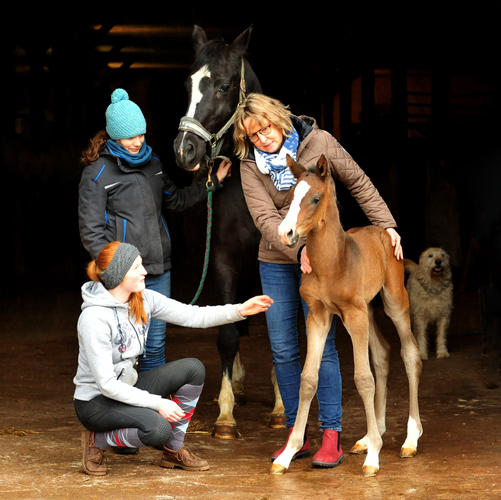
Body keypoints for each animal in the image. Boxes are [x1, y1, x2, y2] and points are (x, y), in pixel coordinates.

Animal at [173, 25, 286, 438]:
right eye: (187, 85)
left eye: (223, 86)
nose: (184, 150)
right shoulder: (223, 261)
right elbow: (227, 334)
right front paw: (225, 414)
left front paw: (281, 408)